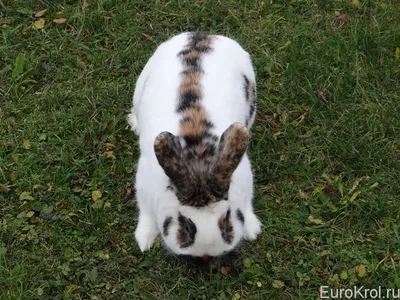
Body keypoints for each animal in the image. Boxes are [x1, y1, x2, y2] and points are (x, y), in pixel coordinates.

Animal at [128, 32, 262, 258]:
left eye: (227, 220)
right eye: (185, 224)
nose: (206, 252)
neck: (198, 157)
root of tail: (203, 35)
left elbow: (248, 202)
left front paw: (252, 229)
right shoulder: (143, 184)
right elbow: (145, 213)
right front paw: (143, 240)